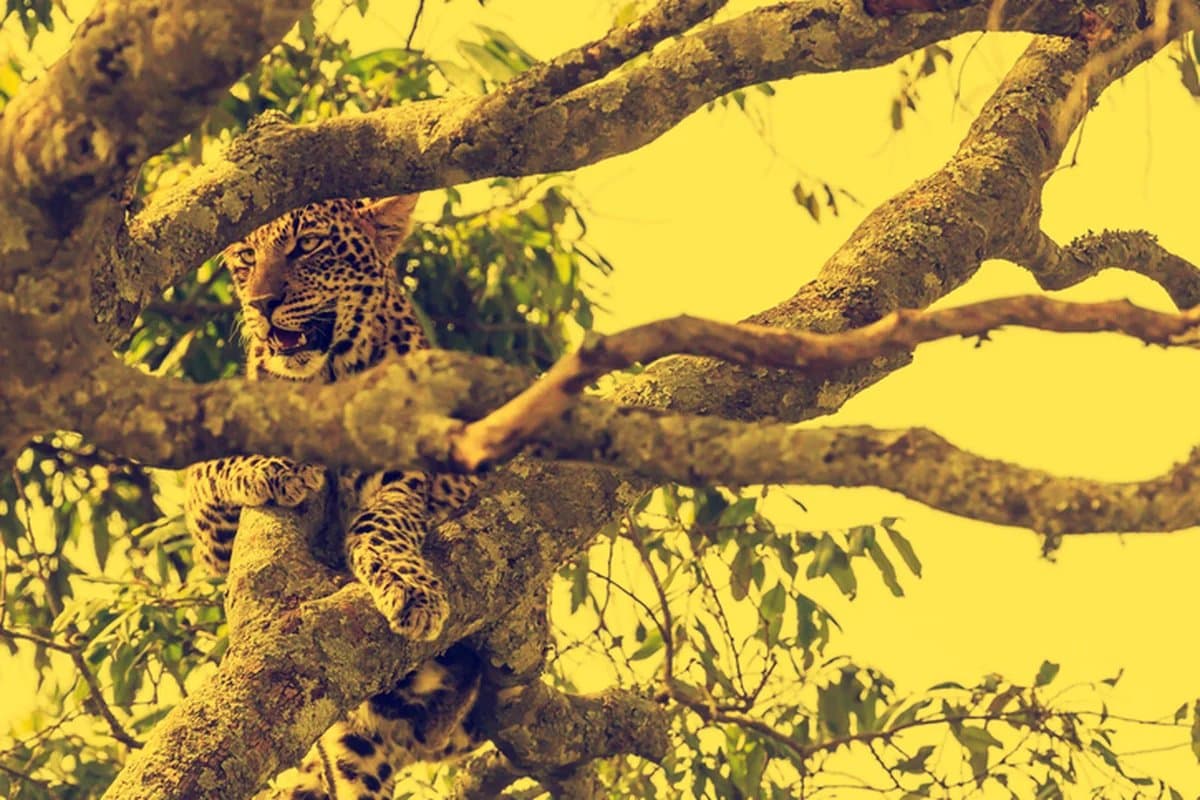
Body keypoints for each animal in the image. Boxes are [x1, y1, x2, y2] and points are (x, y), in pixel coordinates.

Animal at [183, 195, 484, 799]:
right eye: (245, 257)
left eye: (308, 246)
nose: (261, 304)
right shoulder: (213, 542)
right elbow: (208, 467)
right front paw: (280, 466)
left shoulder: (417, 475)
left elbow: (380, 522)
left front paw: (412, 591)